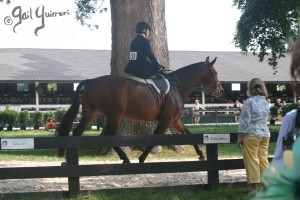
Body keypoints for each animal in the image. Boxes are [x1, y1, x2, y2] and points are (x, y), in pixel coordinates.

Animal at [58, 57, 223, 163]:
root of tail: (91, 81)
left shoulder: (174, 120)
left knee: (77, 132)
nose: (220, 91)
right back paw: (125, 158)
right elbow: (155, 138)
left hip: (92, 113)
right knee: (108, 135)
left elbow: (188, 134)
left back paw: (69, 158)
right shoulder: (165, 120)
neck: (178, 87)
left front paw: (201, 154)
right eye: (215, 73)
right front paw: (142, 158)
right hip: (114, 115)